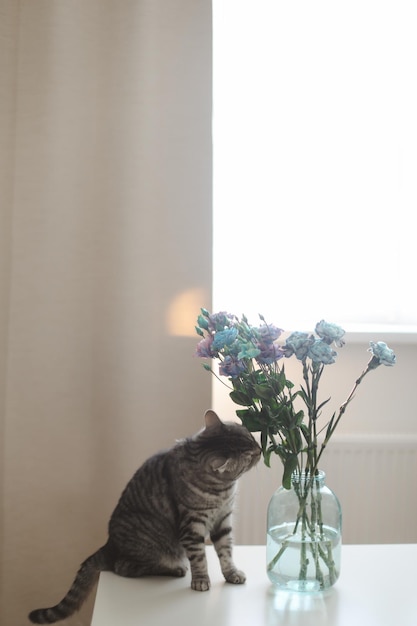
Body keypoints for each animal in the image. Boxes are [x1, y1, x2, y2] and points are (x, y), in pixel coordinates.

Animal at [27, 410, 258, 620]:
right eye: (249, 457)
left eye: (251, 436)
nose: (259, 450)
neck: (223, 491)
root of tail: (109, 545)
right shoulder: (192, 526)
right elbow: (200, 557)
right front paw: (201, 580)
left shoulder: (223, 519)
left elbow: (226, 551)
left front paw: (231, 573)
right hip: (151, 542)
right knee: (124, 567)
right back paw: (176, 569)